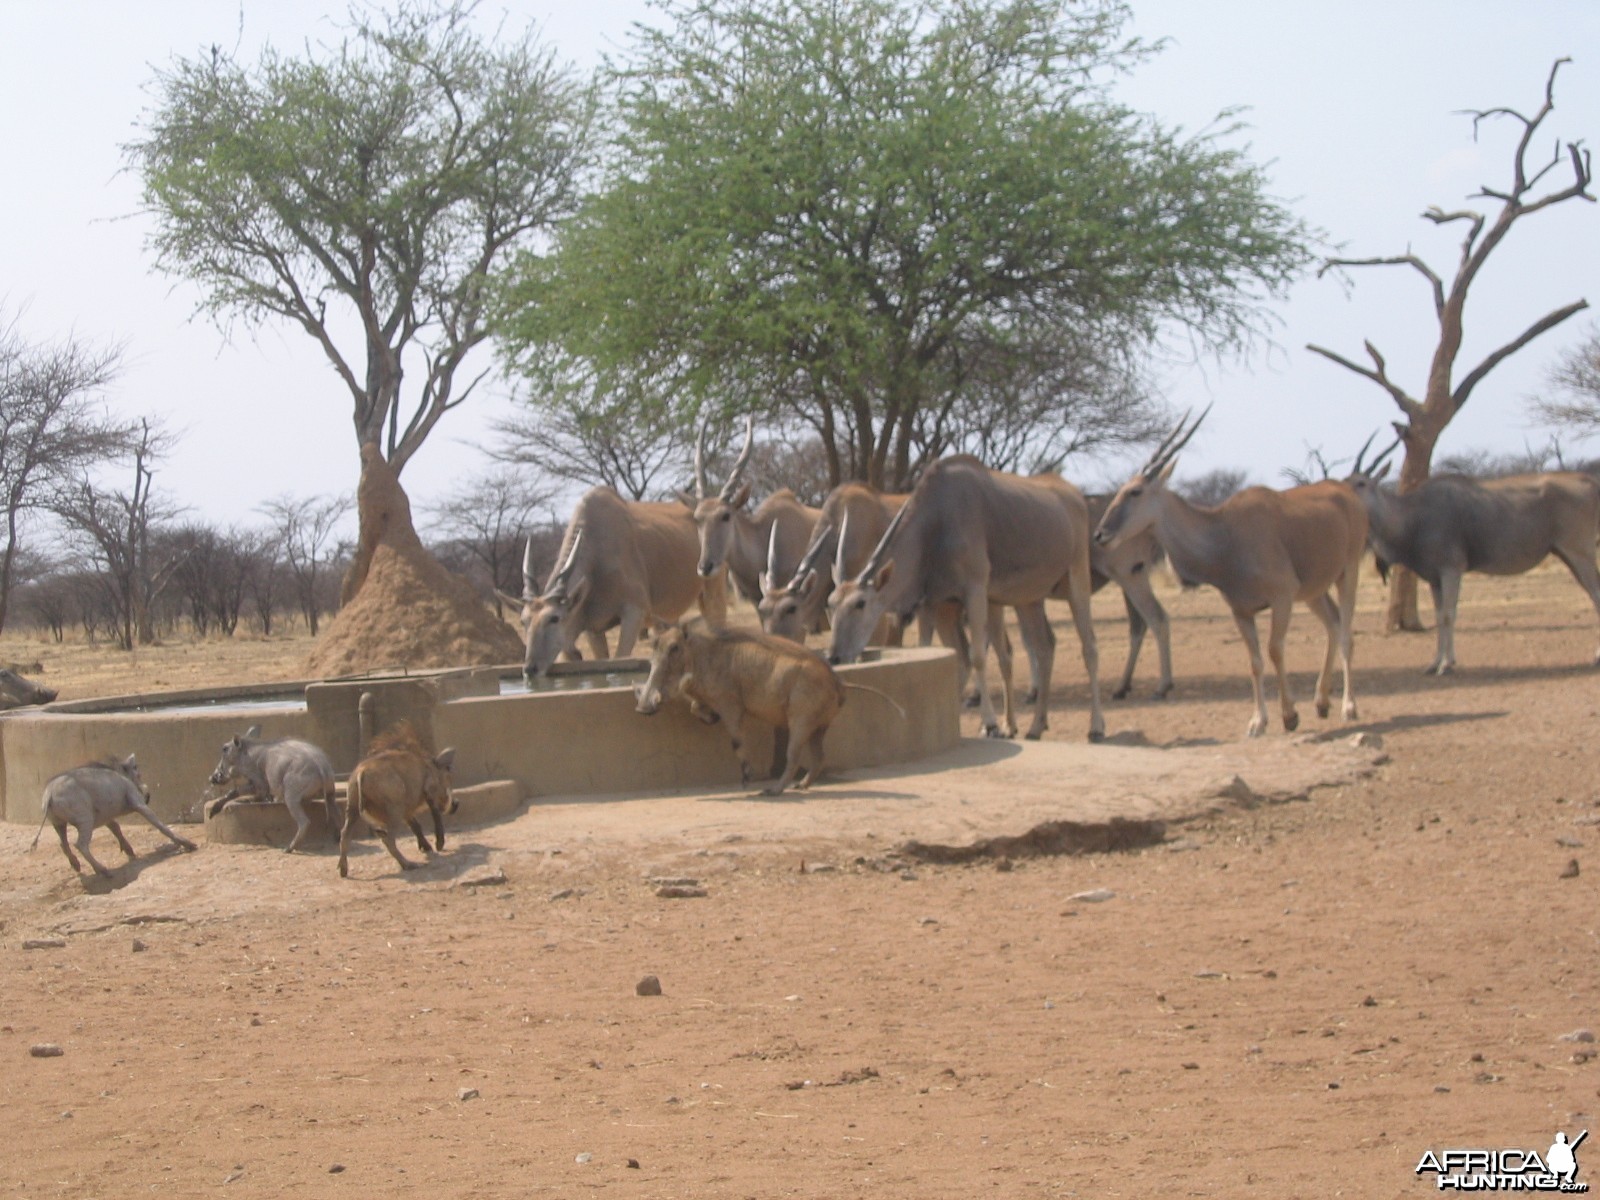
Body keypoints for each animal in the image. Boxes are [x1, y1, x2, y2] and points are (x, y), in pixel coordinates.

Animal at [32, 755, 196, 876]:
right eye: (138, 773)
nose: (148, 796)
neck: (121, 773)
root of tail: (49, 794)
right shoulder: (137, 802)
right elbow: (159, 824)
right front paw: (188, 844)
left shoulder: (107, 818)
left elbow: (116, 828)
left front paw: (130, 852)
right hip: (85, 820)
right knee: (80, 844)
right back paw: (103, 871)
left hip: (58, 824)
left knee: (63, 844)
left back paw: (77, 866)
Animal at [515, 486, 729, 678]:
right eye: (524, 621)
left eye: (554, 618)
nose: (530, 669)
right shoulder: (592, 628)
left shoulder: (633, 613)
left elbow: (619, 657)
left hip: (713, 593)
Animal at [825, 457, 1100, 742]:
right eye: (830, 604)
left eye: (860, 603)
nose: (834, 657)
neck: (936, 521)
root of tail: (1074, 495)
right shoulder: (939, 605)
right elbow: (948, 656)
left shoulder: (975, 592)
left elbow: (976, 656)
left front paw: (990, 723)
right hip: (1029, 599)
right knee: (1044, 647)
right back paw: (1035, 726)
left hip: (1076, 578)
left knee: (1089, 647)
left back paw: (1095, 727)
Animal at [1094, 409, 1369, 739]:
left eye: (1135, 491)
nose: (1100, 534)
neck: (1224, 534)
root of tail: (1346, 493)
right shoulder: (1241, 611)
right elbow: (1254, 661)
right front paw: (1258, 722)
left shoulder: (1282, 598)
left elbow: (1274, 650)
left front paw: (1289, 715)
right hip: (1314, 591)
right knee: (1333, 625)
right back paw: (1322, 702)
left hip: (1347, 573)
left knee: (1346, 634)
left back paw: (1348, 707)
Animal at [1337, 435, 1600, 678]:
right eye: (1345, 482)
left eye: (1361, 483)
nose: (1343, 499)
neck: (1412, 515)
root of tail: (1590, 482)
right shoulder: (1435, 579)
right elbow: (1439, 615)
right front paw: (1435, 663)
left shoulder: (1451, 570)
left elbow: (1448, 614)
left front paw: (1445, 665)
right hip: (1567, 555)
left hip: (1580, 553)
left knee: (1596, 595)